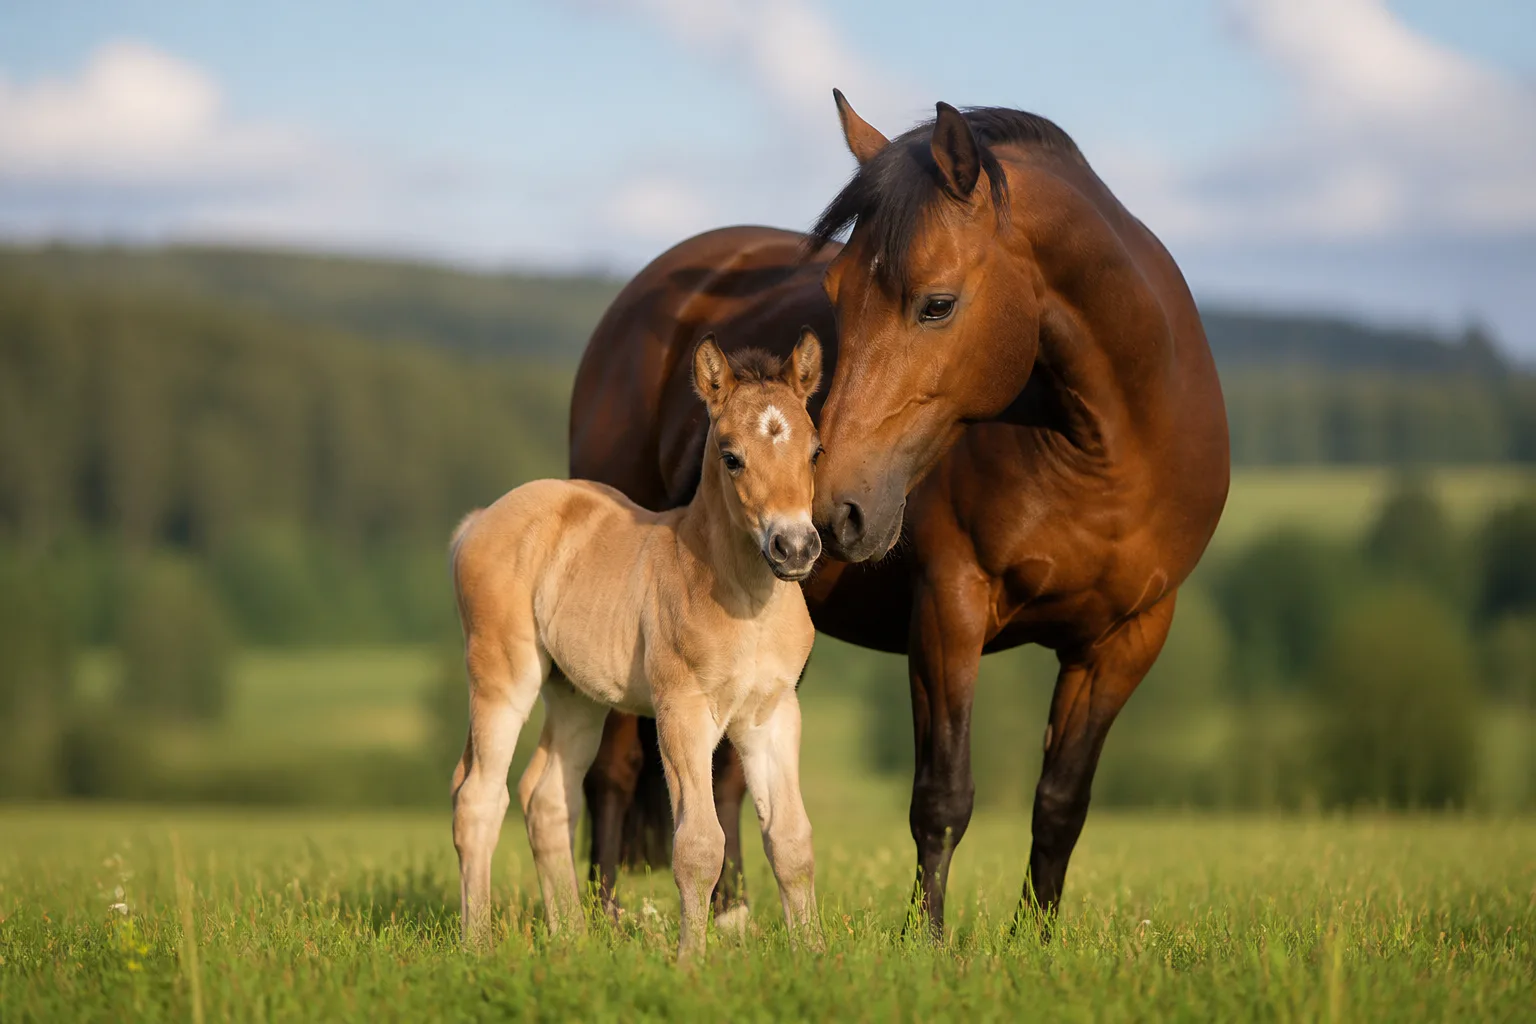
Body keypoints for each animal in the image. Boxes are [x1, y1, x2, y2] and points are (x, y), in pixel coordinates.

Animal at [451, 332, 828, 959]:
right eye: (731, 456)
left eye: (815, 451)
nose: (794, 547)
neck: (745, 601)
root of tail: (476, 522)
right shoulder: (682, 711)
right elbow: (699, 845)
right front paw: (690, 962)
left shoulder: (772, 714)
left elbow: (793, 842)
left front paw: (817, 957)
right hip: (502, 677)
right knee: (479, 798)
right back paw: (477, 944)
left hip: (575, 696)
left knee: (545, 798)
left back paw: (573, 941)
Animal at [570, 93, 1229, 939]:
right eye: (835, 291)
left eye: (937, 303)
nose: (827, 514)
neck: (1105, 452)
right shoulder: (949, 612)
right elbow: (942, 797)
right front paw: (929, 940)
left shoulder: (1125, 640)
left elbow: (1061, 804)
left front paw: (1036, 938)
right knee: (614, 772)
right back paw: (603, 916)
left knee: (725, 772)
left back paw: (732, 913)